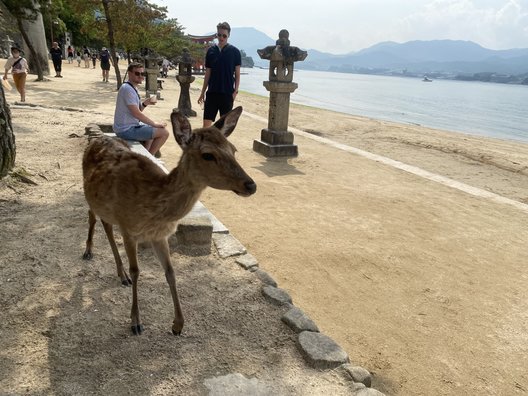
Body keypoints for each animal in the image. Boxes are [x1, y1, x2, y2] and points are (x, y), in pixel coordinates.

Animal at [81, 106, 256, 336]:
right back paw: (88, 252)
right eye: (207, 154)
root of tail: (95, 140)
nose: (251, 185)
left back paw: (121, 275)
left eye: (233, 150)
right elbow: (137, 271)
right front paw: (136, 322)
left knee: (106, 226)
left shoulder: (159, 235)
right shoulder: (128, 228)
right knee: (93, 217)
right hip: (89, 195)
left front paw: (178, 325)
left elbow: (171, 272)